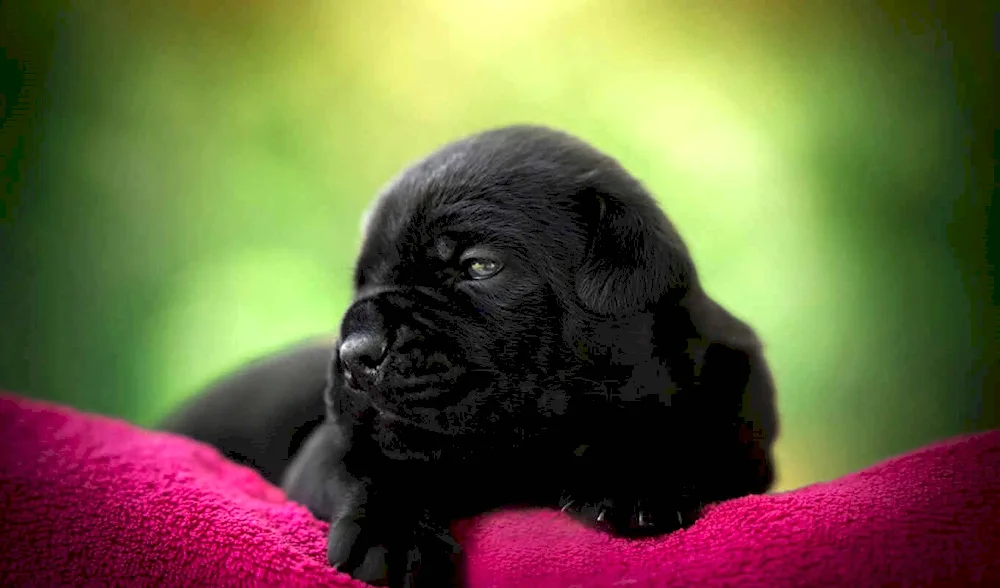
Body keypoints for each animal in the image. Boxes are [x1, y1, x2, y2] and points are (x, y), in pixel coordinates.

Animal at [158, 125, 780, 588]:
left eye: (479, 266)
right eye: (363, 282)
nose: (355, 354)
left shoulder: (740, 427)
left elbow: (686, 434)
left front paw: (634, 478)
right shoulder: (332, 450)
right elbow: (375, 463)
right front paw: (394, 536)